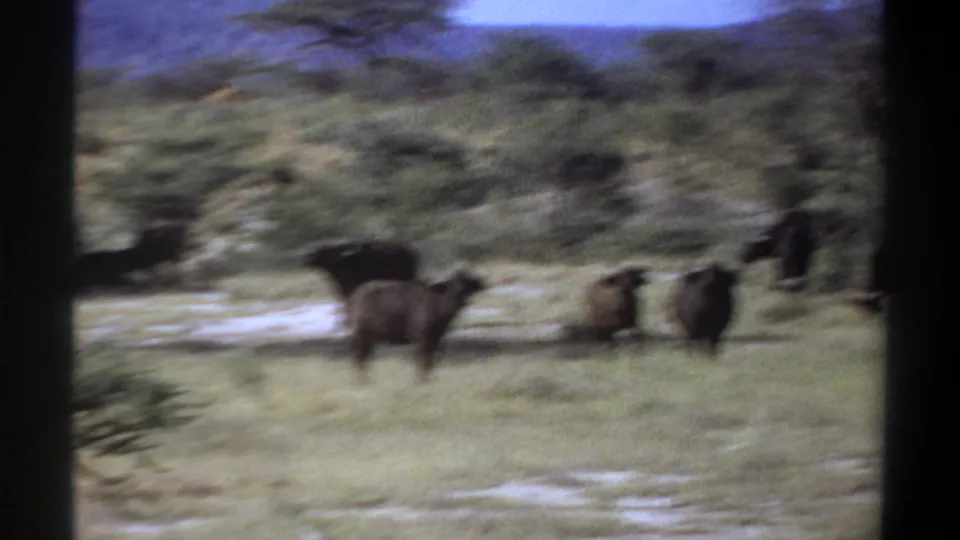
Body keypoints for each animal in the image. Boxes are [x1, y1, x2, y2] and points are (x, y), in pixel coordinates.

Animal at [346, 269, 487, 384]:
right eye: (453, 285)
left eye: (468, 285)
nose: (460, 297)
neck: (437, 304)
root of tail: (355, 296)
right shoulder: (422, 338)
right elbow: (422, 359)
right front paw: (421, 380)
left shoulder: (435, 338)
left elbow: (430, 360)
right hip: (361, 336)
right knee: (358, 356)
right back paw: (362, 381)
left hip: (369, 338)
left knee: (363, 357)